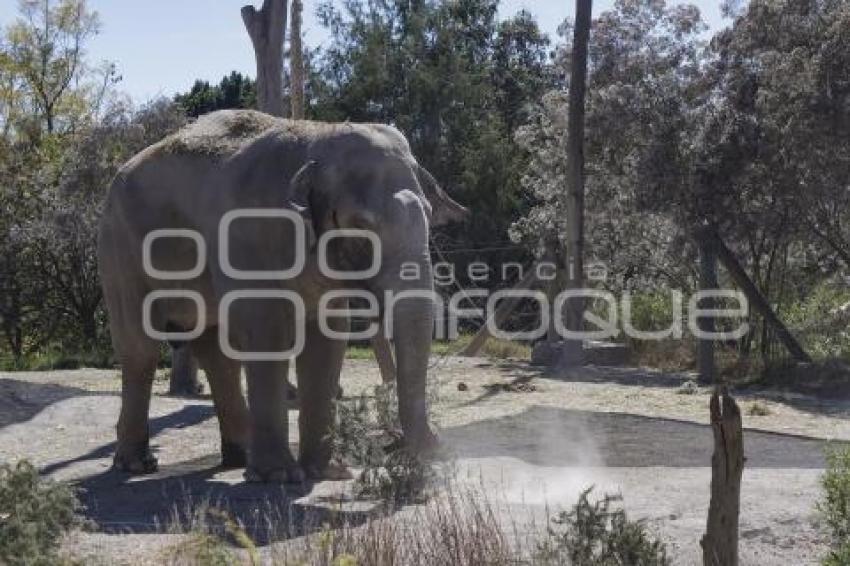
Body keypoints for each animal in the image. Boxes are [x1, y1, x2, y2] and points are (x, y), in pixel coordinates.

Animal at [100, 110, 470, 484]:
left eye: (429, 216)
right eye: (361, 226)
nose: (435, 447)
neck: (316, 137)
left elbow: (328, 336)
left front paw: (326, 472)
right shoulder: (248, 235)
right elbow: (267, 331)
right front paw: (278, 476)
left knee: (216, 352)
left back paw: (238, 456)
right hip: (119, 249)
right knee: (140, 347)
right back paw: (136, 464)